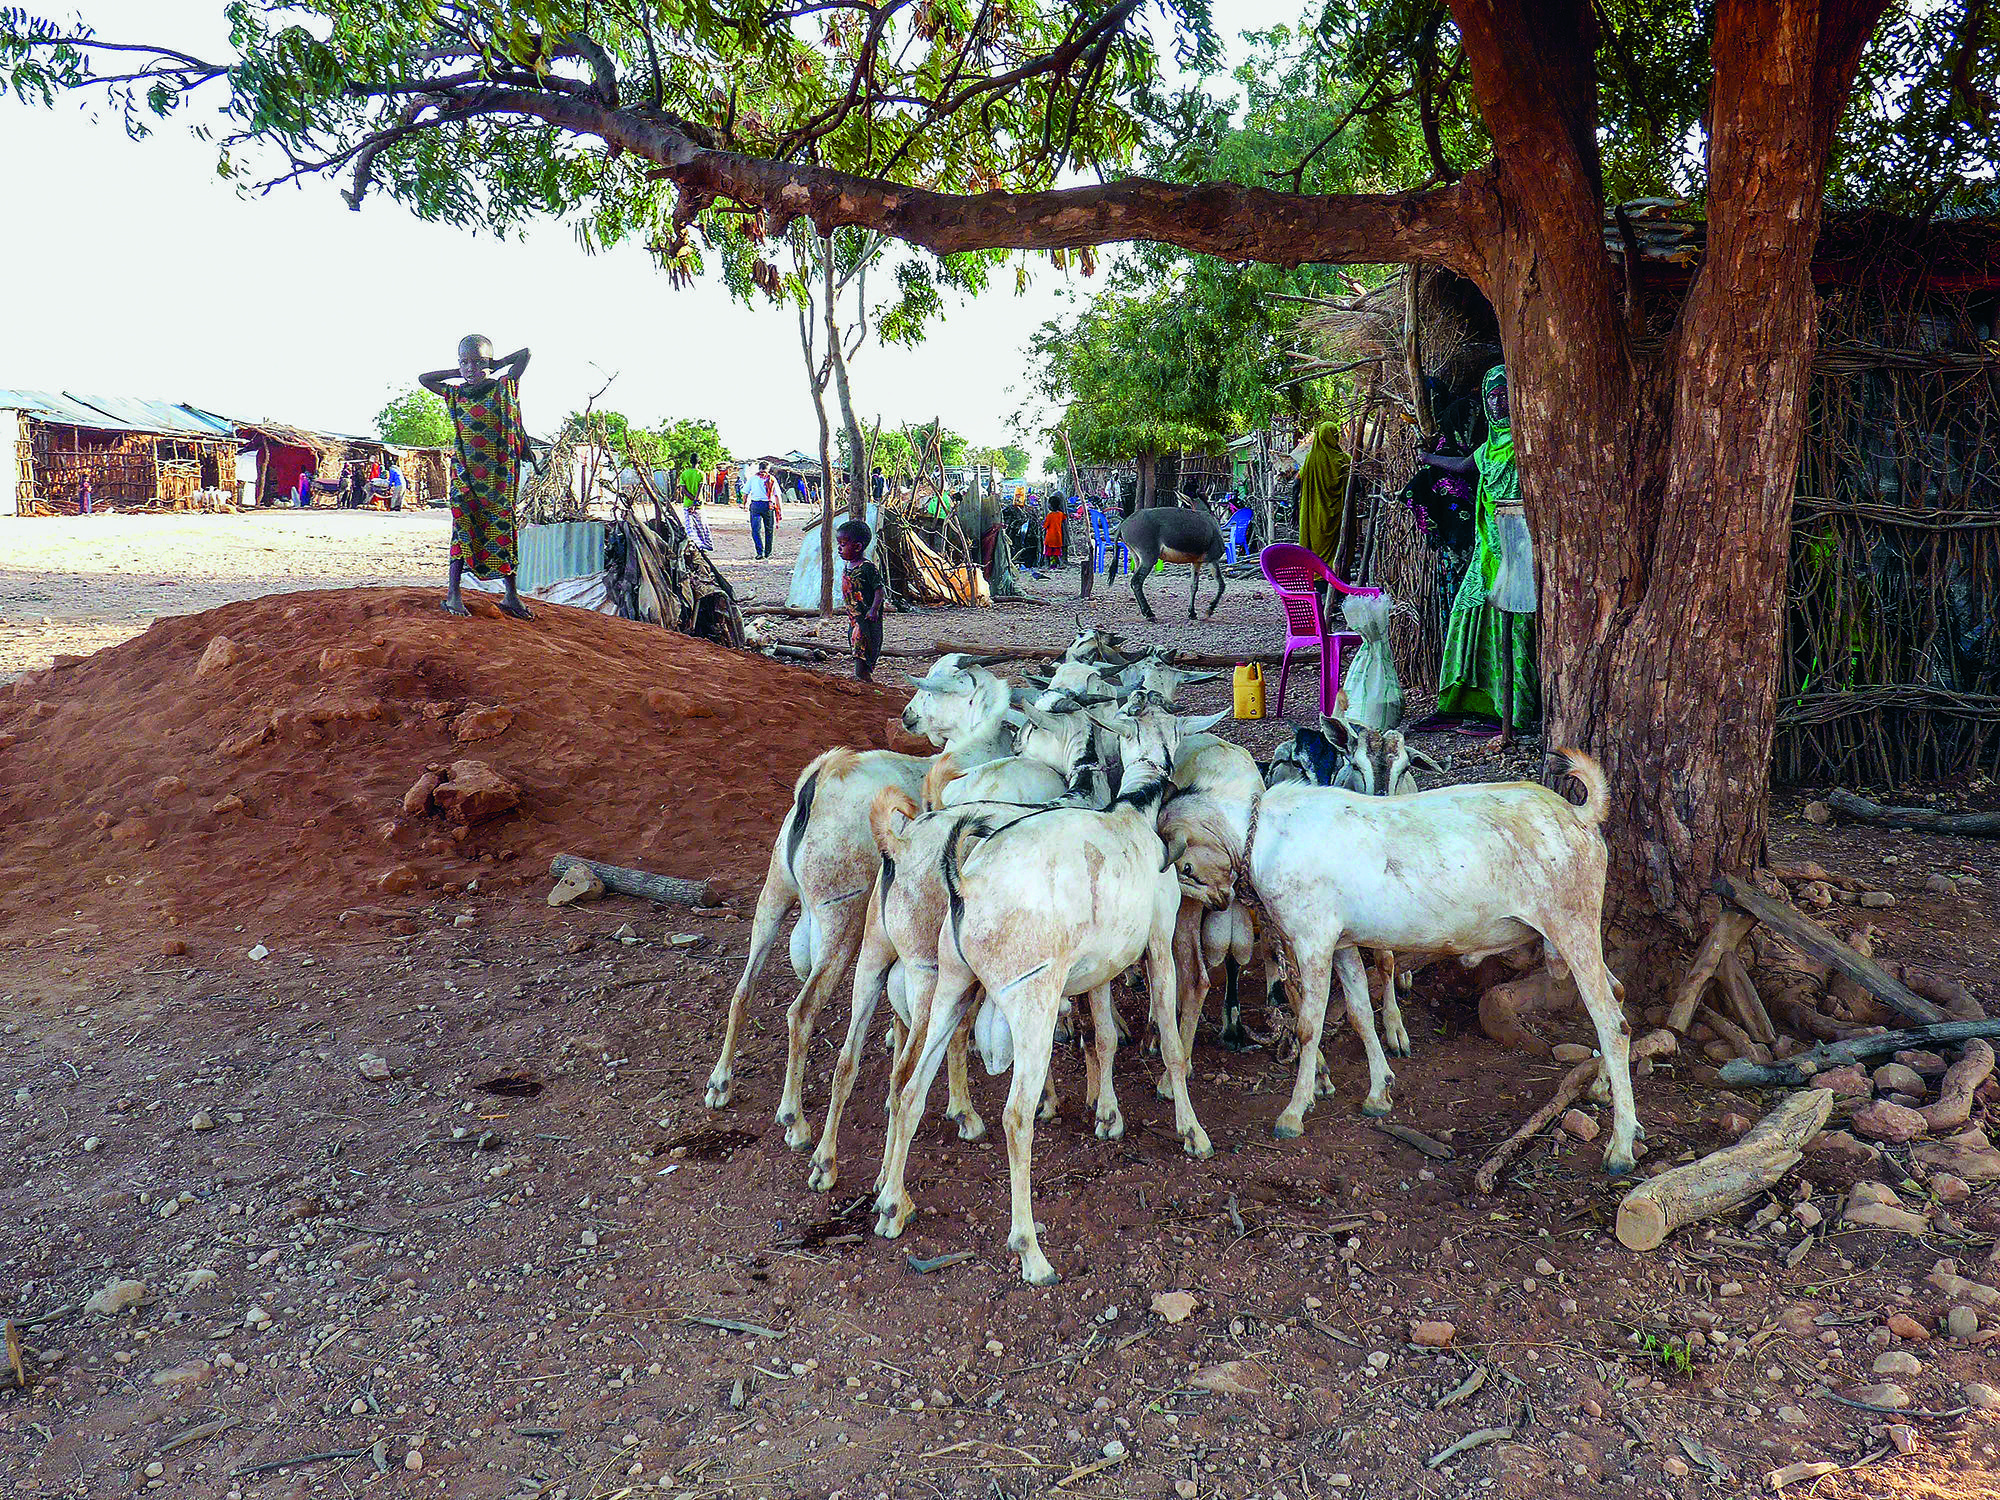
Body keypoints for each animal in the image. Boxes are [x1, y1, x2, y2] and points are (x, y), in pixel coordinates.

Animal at [704, 656, 1016, 1152]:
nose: (907, 716)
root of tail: (817, 782)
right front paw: (963, 1111)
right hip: (840, 918)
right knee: (801, 1012)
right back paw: (795, 1120)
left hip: (774, 896)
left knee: (743, 989)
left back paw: (720, 1084)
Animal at [872, 708, 1216, 1296]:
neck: (1132, 810)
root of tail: (968, 880)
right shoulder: (1156, 941)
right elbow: (1170, 1044)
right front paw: (1191, 1129)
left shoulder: (1099, 966)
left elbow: (1103, 1035)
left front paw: (1107, 1115)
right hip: (1027, 997)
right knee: (1013, 1114)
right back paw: (1030, 1251)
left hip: (949, 982)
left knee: (910, 1085)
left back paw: (893, 1204)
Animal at [1160, 752, 1640, 1176]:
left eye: (1185, 867)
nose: (1218, 901)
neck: (1262, 837)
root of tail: (1580, 814)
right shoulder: (1343, 943)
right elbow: (1358, 1012)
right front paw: (1378, 1091)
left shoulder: (1314, 939)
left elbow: (1309, 1026)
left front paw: (1294, 1112)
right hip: (1576, 932)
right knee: (1618, 993)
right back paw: (1601, 1089)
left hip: (1570, 922)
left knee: (1612, 1022)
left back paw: (1620, 1148)